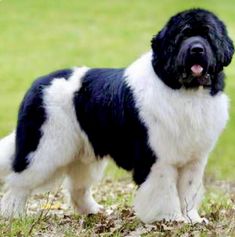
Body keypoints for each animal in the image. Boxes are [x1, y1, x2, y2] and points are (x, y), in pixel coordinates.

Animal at [0, 8, 233, 223]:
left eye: (208, 35)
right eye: (183, 35)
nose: (197, 48)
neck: (186, 92)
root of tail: (38, 83)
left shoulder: (194, 160)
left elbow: (189, 191)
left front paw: (192, 219)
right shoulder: (157, 159)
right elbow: (163, 191)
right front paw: (170, 218)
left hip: (84, 154)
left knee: (77, 187)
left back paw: (94, 211)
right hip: (45, 148)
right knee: (18, 182)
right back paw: (14, 215)